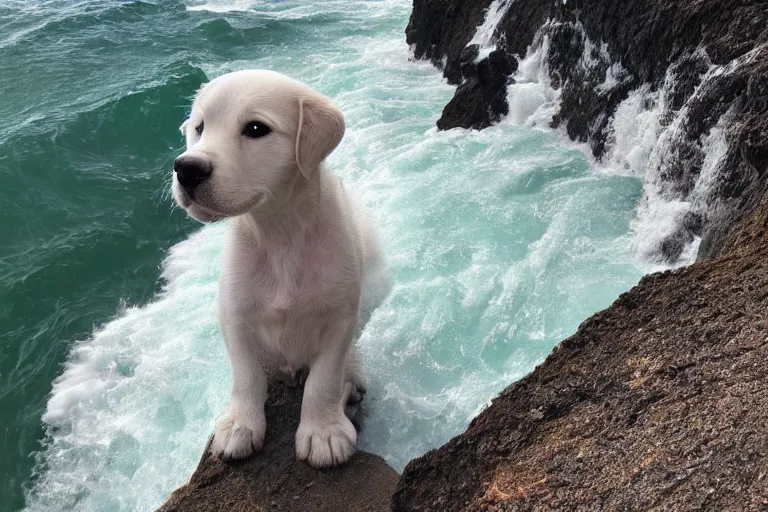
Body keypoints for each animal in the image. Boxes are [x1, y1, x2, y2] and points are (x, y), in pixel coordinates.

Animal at [175, 69, 390, 468]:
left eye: (256, 129)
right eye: (199, 128)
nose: (186, 168)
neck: (279, 233)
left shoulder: (340, 318)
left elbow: (324, 378)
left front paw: (323, 431)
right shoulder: (234, 316)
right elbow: (246, 375)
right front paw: (240, 425)